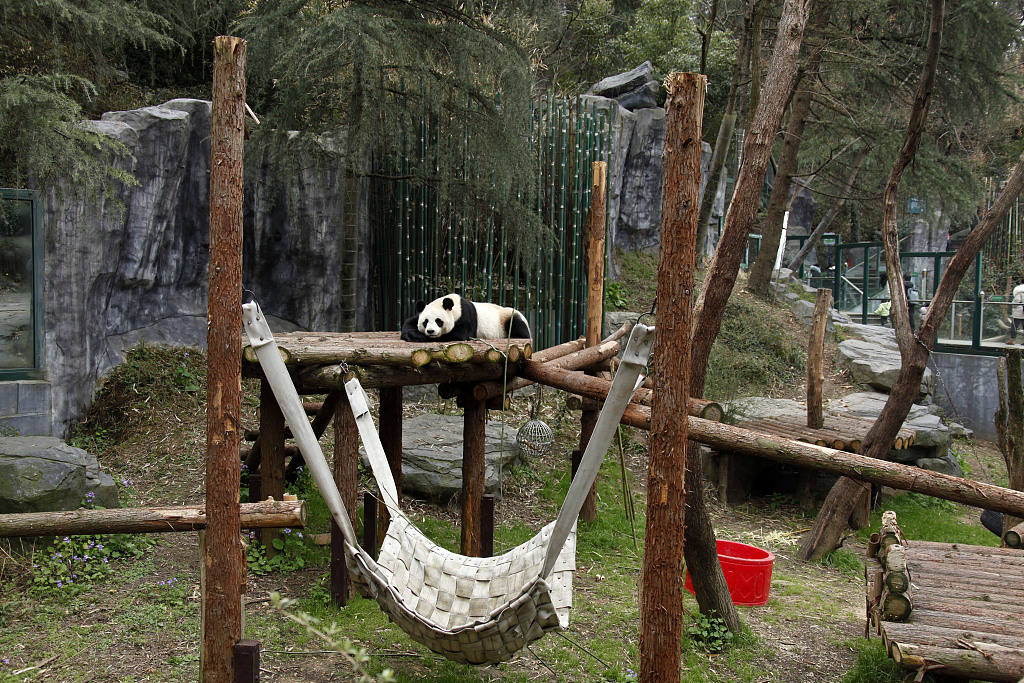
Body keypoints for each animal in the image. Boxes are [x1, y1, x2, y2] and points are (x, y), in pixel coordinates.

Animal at [397, 292, 532, 342]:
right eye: (425, 322)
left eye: (438, 321)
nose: (430, 331)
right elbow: (410, 321)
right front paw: (409, 333)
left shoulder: (465, 317)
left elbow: (457, 335)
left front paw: (416, 336)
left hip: (507, 316)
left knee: (517, 325)